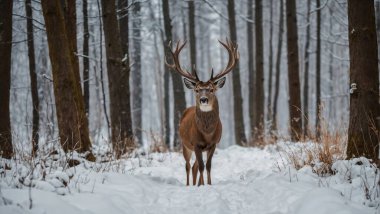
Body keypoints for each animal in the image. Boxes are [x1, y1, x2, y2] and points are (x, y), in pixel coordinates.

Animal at [166, 38, 239, 186]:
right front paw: (203, 185)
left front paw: (208, 184)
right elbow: (201, 166)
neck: (207, 134)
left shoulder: (214, 144)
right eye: (197, 90)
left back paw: (197, 183)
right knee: (188, 166)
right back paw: (189, 185)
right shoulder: (196, 144)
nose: (203, 99)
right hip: (185, 145)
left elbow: (208, 165)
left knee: (194, 166)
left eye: (211, 89)